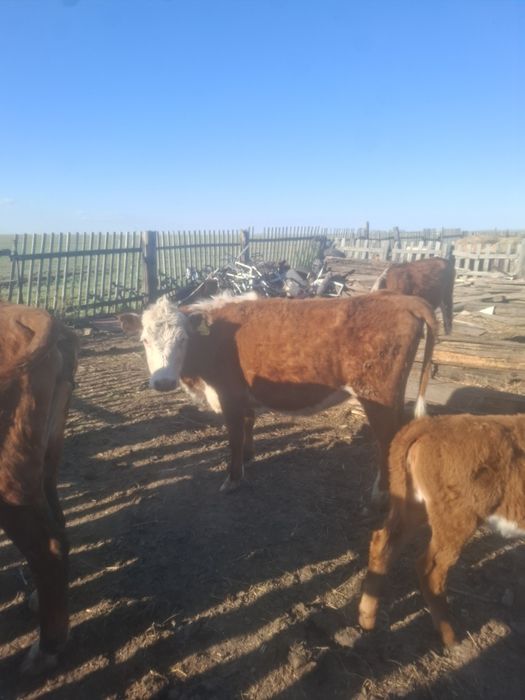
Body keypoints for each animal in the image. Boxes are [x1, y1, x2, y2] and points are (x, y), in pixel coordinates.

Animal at [120, 292, 436, 500]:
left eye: (184, 339)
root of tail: (399, 299)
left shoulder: (228, 394)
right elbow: (248, 426)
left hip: (378, 395)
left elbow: (234, 437)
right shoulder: (243, 396)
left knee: (388, 437)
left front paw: (233, 478)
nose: (163, 382)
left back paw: (381, 491)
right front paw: (248, 458)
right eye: (144, 340)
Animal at [359, 413, 525, 648]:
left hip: (413, 504)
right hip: (456, 520)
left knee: (383, 543)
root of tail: (429, 424)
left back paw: (367, 620)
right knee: (431, 568)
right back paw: (450, 637)